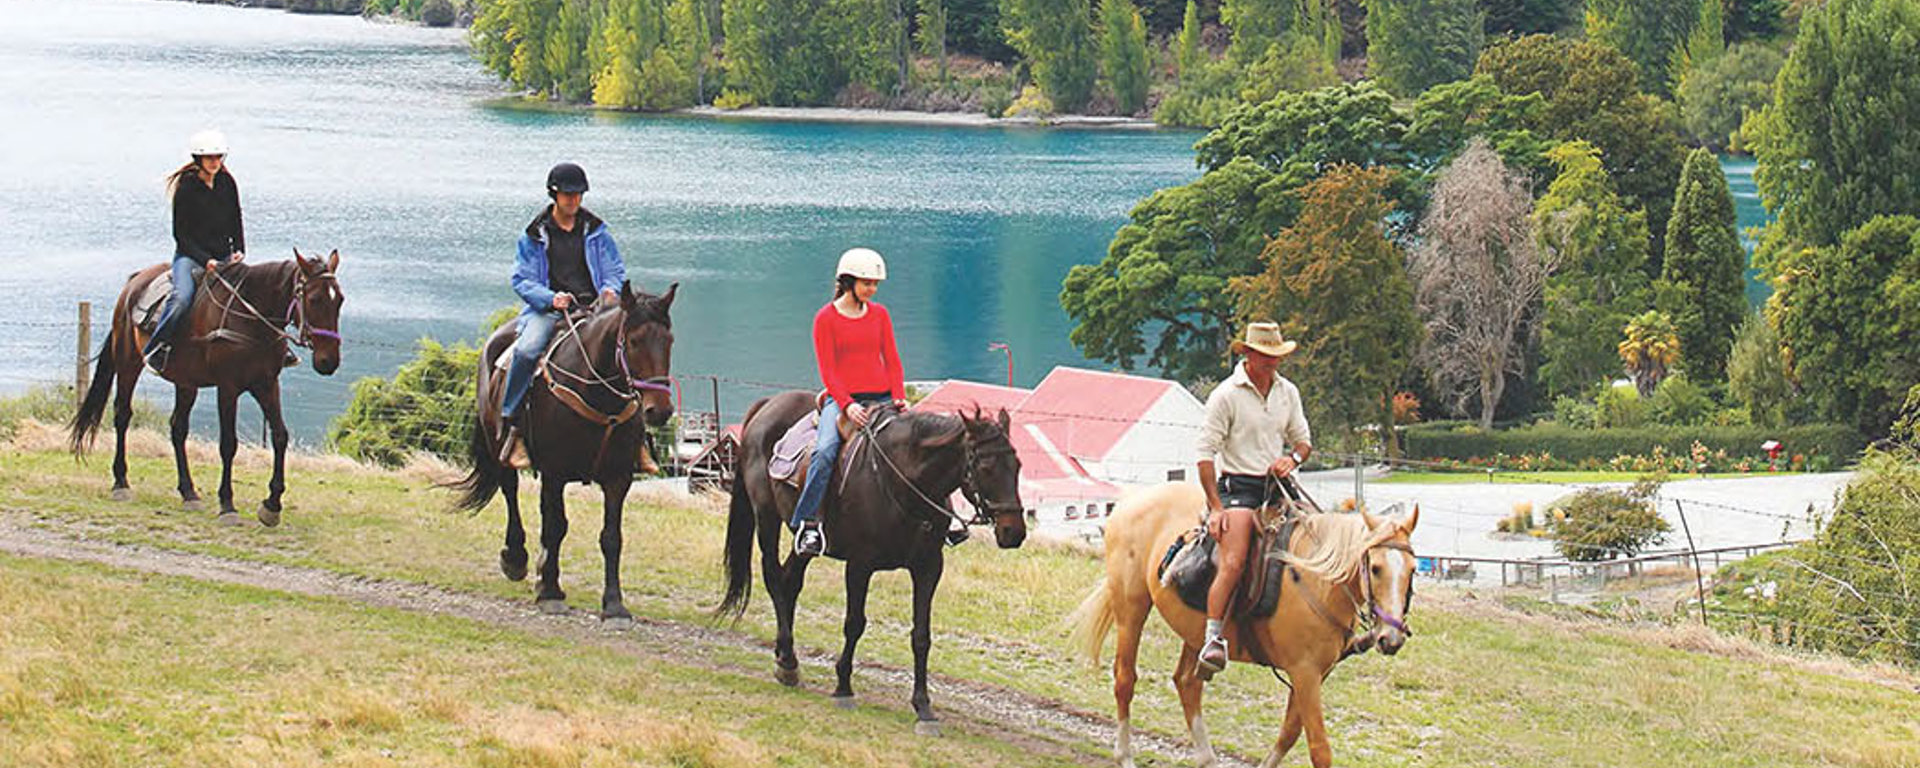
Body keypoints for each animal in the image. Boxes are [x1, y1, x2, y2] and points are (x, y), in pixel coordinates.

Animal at [69, 251, 347, 529]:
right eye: (314, 299)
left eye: (340, 300)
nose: (329, 361)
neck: (251, 319)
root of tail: (134, 283)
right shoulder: (228, 388)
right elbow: (228, 445)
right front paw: (227, 505)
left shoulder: (267, 384)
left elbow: (280, 437)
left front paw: (272, 505)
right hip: (128, 363)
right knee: (122, 415)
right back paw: (121, 483)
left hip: (186, 382)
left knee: (178, 428)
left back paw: (188, 492)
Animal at [451, 278, 683, 625]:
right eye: (633, 341)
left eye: (669, 341)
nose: (660, 410)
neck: (596, 393)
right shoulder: (555, 472)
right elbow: (557, 526)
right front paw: (550, 593)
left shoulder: (618, 477)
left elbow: (611, 538)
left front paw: (614, 605)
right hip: (499, 444)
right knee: (510, 490)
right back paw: (516, 558)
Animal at [714, 389, 1029, 733]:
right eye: (985, 466)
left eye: (1017, 465)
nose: (1013, 532)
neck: (902, 481)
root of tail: (768, 405)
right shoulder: (859, 565)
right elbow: (854, 624)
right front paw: (843, 689)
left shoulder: (928, 568)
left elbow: (921, 636)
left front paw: (923, 706)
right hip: (766, 518)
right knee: (773, 577)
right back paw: (788, 663)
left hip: (802, 541)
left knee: (789, 582)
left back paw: (785, 656)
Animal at [1075, 485, 1420, 768]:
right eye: (1375, 568)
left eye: (1413, 569)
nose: (1391, 638)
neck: (1317, 579)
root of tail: (1129, 502)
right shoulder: (1305, 672)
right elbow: (1319, 748)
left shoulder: (1315, 674)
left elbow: (1289, 733)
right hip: (1131, 608)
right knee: (1125, 679)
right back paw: (1125, 755)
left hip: (1194, 632)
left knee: (1187, 683)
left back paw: (1206, 757)